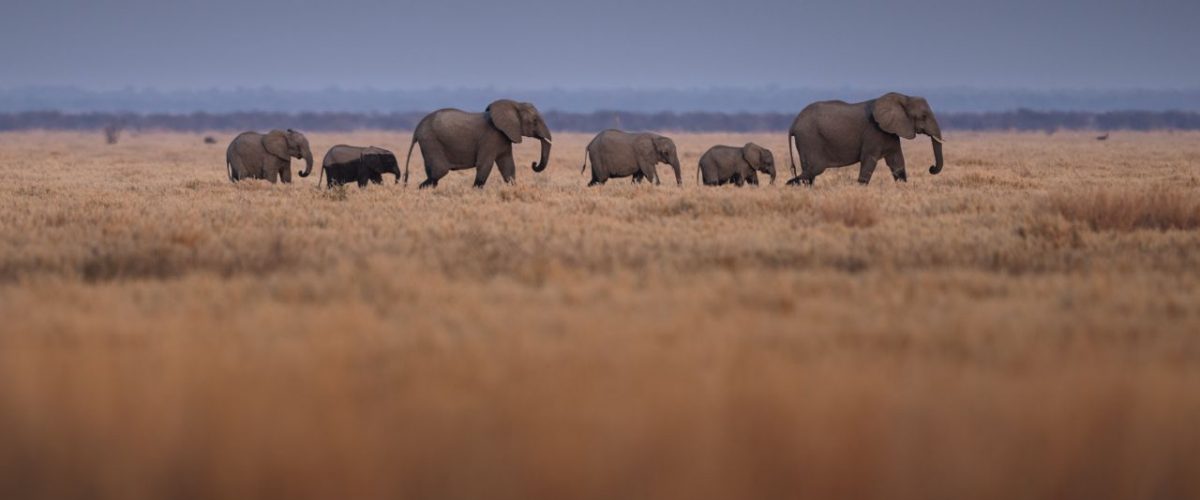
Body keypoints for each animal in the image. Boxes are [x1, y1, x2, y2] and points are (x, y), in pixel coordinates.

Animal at [403, 98, 552, 188]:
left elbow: (508, 167)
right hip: (431, 141)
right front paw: (476, 191)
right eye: (534, 121)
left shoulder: (504, 137)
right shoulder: (491, 138)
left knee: (433, 174)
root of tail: (417, 130)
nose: (534, 163)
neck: (514, 104)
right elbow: (484, 165)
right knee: (439, 171)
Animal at [787, 92, 945, 185]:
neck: (904, 97)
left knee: (810, 171)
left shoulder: (889, 131)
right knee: (815, 168)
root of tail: (793, 124)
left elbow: (897, 162)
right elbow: (869, 160)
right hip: (809, 139)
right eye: (923, 116)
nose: (931, 168)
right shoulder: (873, 132)